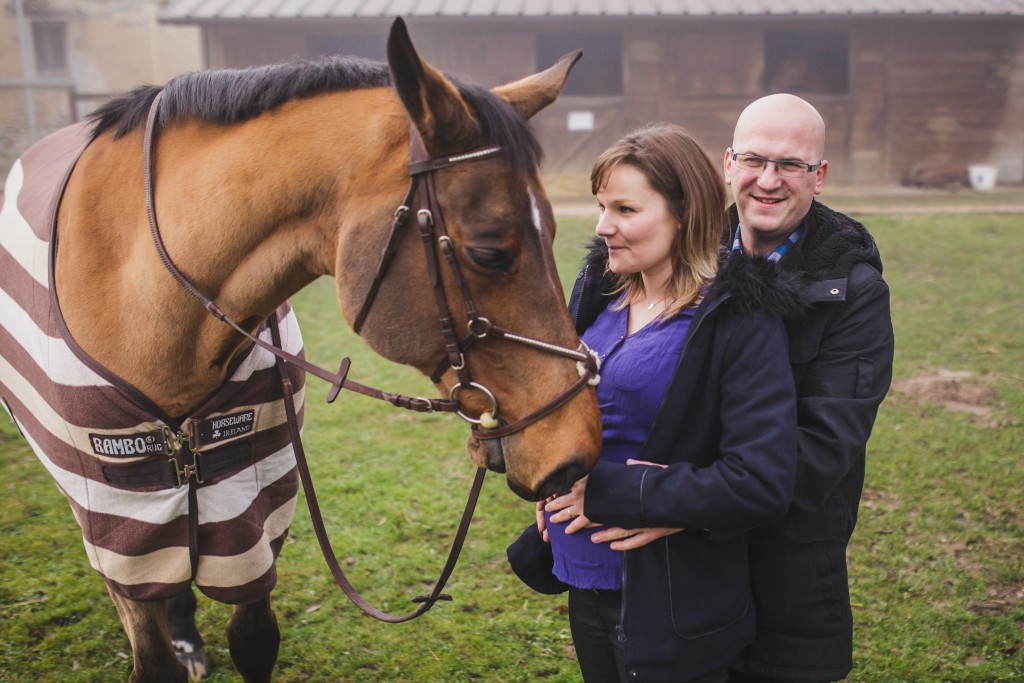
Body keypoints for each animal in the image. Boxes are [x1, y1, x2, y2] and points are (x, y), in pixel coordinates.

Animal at [0, 17, 598, 683]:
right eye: (490, 251)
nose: (578, 450)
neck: (148, 304)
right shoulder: (118, 525)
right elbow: (152, 651)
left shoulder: (251, 506)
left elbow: (255, 637)